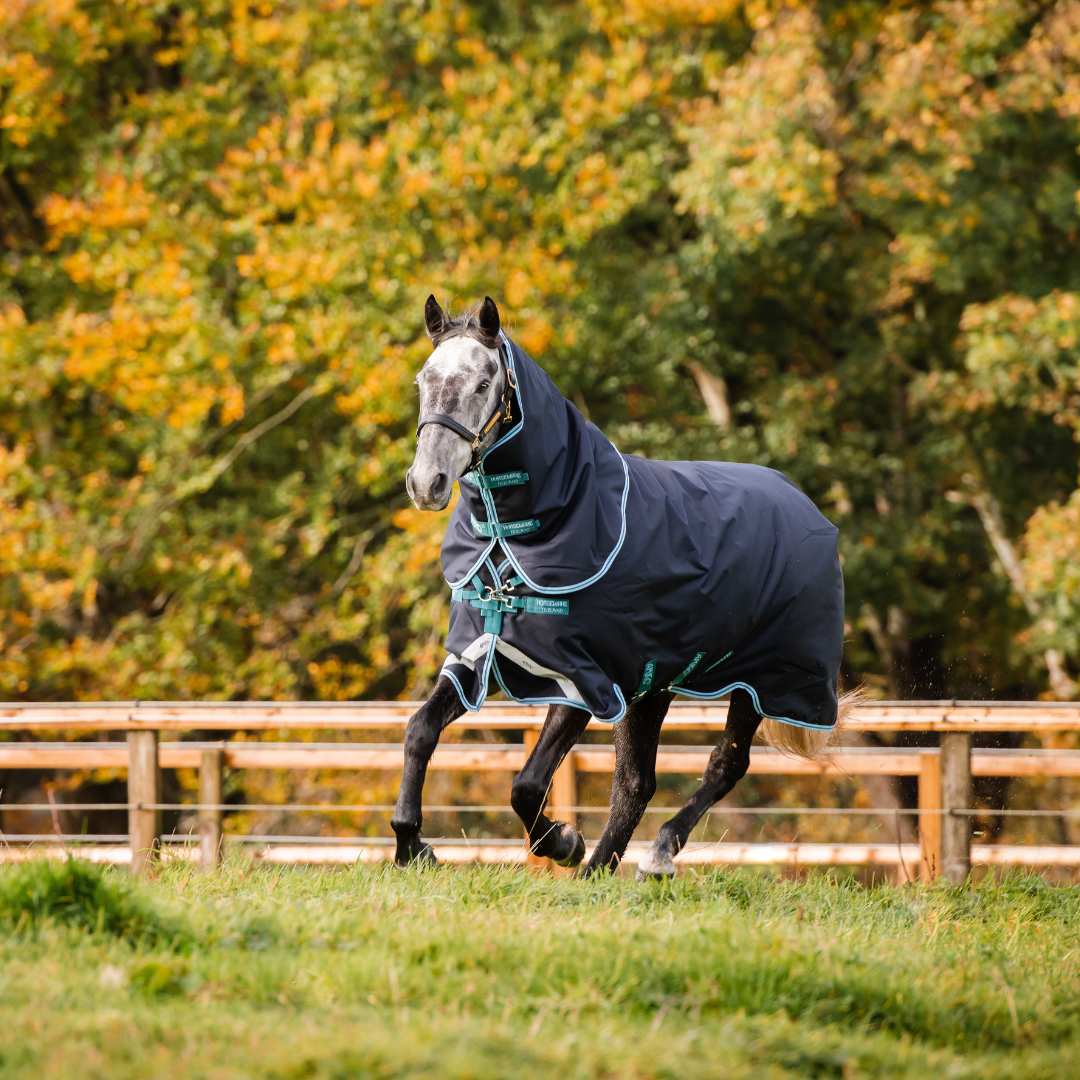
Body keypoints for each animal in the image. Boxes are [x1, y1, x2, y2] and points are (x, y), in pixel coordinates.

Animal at [393, 293, 855, 876]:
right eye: (422, 380)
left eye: (482, 384)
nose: (425, 483)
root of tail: (805, 506)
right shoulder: (485, 652)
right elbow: (420, 731)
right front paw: (412, 845)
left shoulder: (583, 674)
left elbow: (527, 785)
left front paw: (563, 842)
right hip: (657, 683)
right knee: (637, 783)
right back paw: (601, 868)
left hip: (766, 678)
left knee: (724, 765)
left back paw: (654, 855)